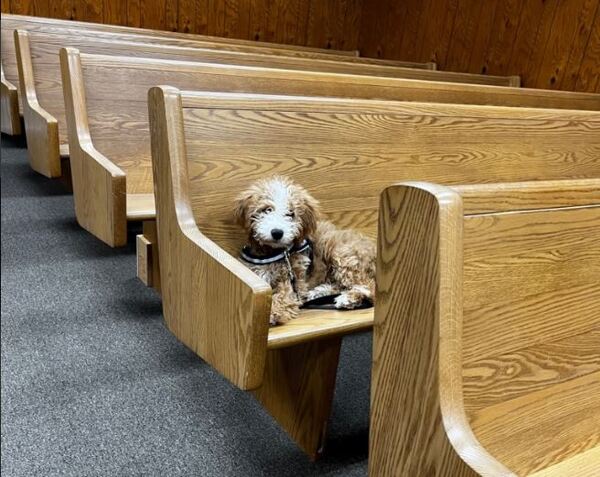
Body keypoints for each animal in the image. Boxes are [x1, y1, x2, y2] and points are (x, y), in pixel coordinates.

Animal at [233, 177, 376, 326]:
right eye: (267, 210)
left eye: (291, 214)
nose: (277, 232)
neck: (273, 253)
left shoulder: (293, 283)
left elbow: (282, 296)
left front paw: (273, 312)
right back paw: (318, 292)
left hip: (342, 254)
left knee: (369, 287)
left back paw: (348, 299)